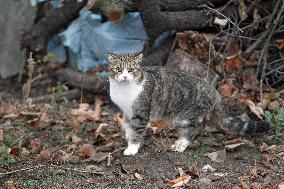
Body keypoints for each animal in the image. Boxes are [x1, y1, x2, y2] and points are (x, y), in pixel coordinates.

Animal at [107, 52, 270, 155]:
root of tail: (214, 91)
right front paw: (128, 139)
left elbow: (137, 131)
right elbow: (128, 127)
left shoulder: (141, 113)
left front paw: (132, 148)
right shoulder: (127, 111)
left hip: (182, 117)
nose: (125, 77)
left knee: (196, 128)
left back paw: (181, 144)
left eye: (131, 70)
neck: (123, 90)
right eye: (118, 69)